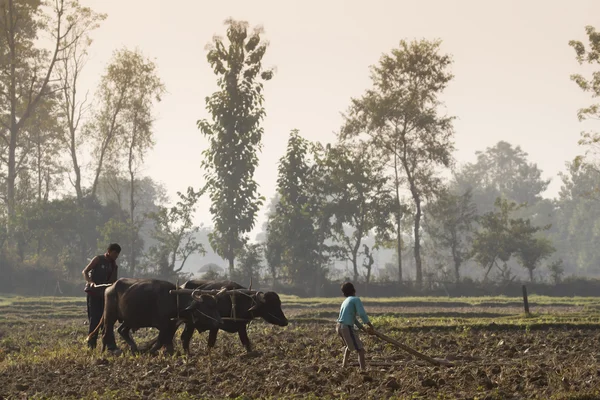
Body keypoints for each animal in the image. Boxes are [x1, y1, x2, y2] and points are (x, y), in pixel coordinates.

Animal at [85, 278, 224, 354]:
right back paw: (108, 351)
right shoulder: (163, 324)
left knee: (122, 330)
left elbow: (166, 340)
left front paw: (168, 352)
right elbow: (160, 340)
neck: (174, 299)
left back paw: (134, 348)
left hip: (130, 319)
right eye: (207, 307)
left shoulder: (171, 324)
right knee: (106, 333)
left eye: (215, 306)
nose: (219, 322)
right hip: (110, 316)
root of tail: (110, 287)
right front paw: (152, 351)